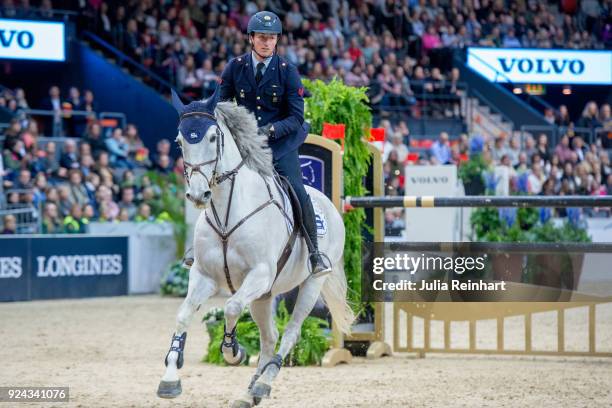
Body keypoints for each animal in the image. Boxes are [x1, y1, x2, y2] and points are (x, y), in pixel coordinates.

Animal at [157, 92, 354, 408]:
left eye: (213, 137)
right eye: (179, 141)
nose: (198, 195)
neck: (227, 211)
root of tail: (331, 205)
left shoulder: (259, 274)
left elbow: (231, 307)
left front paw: (232, 351)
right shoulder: (204, 276)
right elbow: (183, 315)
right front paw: (170, 379)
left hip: (311, 284)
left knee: (290, 332)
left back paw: (263, 383)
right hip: (265, 296)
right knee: (269, 337)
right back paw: (249, 392)